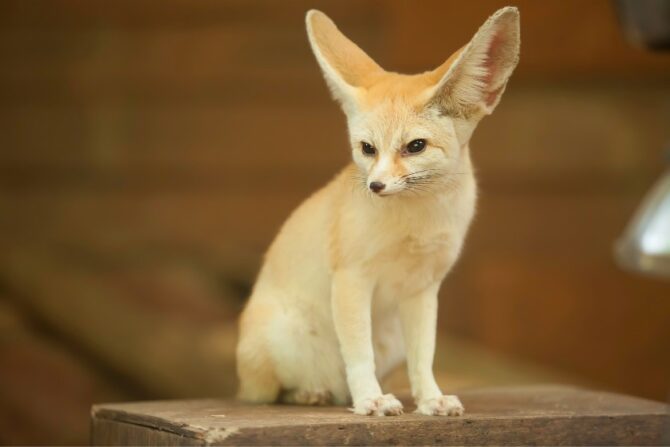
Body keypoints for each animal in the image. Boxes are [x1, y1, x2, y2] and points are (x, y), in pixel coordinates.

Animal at [239, 7, 524, 416]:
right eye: (367, 148)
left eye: (415, 146)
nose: (375, 186)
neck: (417, 222)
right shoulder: (352, 277)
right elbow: (359, 354)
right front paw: (370, 399)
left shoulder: (423, 288)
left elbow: (424, 355)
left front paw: (430, 398)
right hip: (282, 341)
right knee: (269, 393)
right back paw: (311, 393)